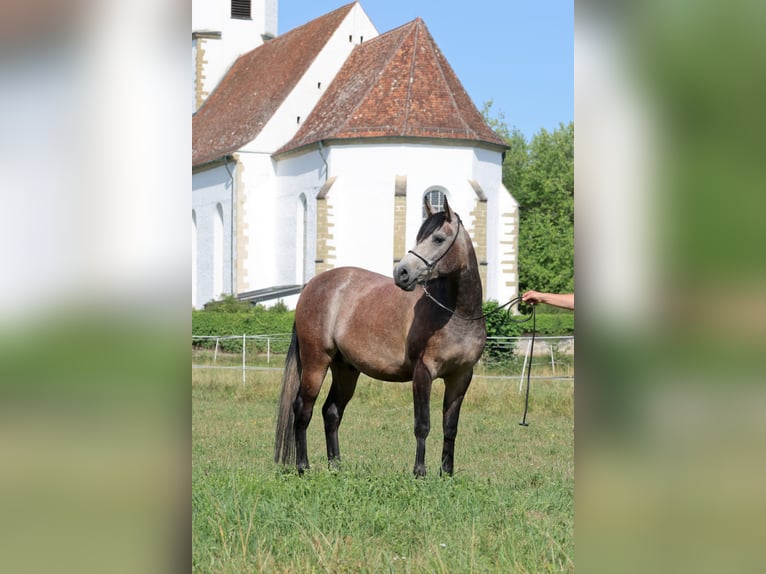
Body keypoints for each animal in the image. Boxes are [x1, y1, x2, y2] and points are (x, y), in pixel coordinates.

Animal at [274, 196, 486, 477]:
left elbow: (450, 427)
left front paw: (447, 474)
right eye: (420, 236)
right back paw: (303, 467)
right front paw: (420, 472)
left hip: (345, 369)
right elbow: (423, 424)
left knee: (331, 412)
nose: (402, 273)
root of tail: (312, 286)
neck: (456, 314)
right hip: (315, 362)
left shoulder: (460, 377)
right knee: (302, 408)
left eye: (439, 238)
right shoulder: (423, 373)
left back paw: (336, 467)